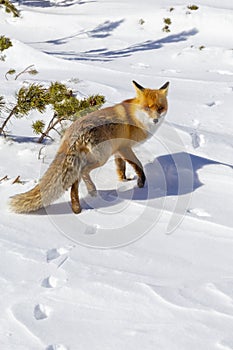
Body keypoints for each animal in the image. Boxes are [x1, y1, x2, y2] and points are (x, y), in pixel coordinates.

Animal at [10, 81, 169, 213]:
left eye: (160, 108)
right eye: (147, 108)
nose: (155, 120)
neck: (135, 118)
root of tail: (72, 132)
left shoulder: (118, 150)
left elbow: (121, 168)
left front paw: (123, 182)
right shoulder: (125, 148)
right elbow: (138, 165)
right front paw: (141, 184)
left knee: (78, 177)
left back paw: (82, 201)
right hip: (101, 158)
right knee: (81, 173)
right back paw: (83, 201)